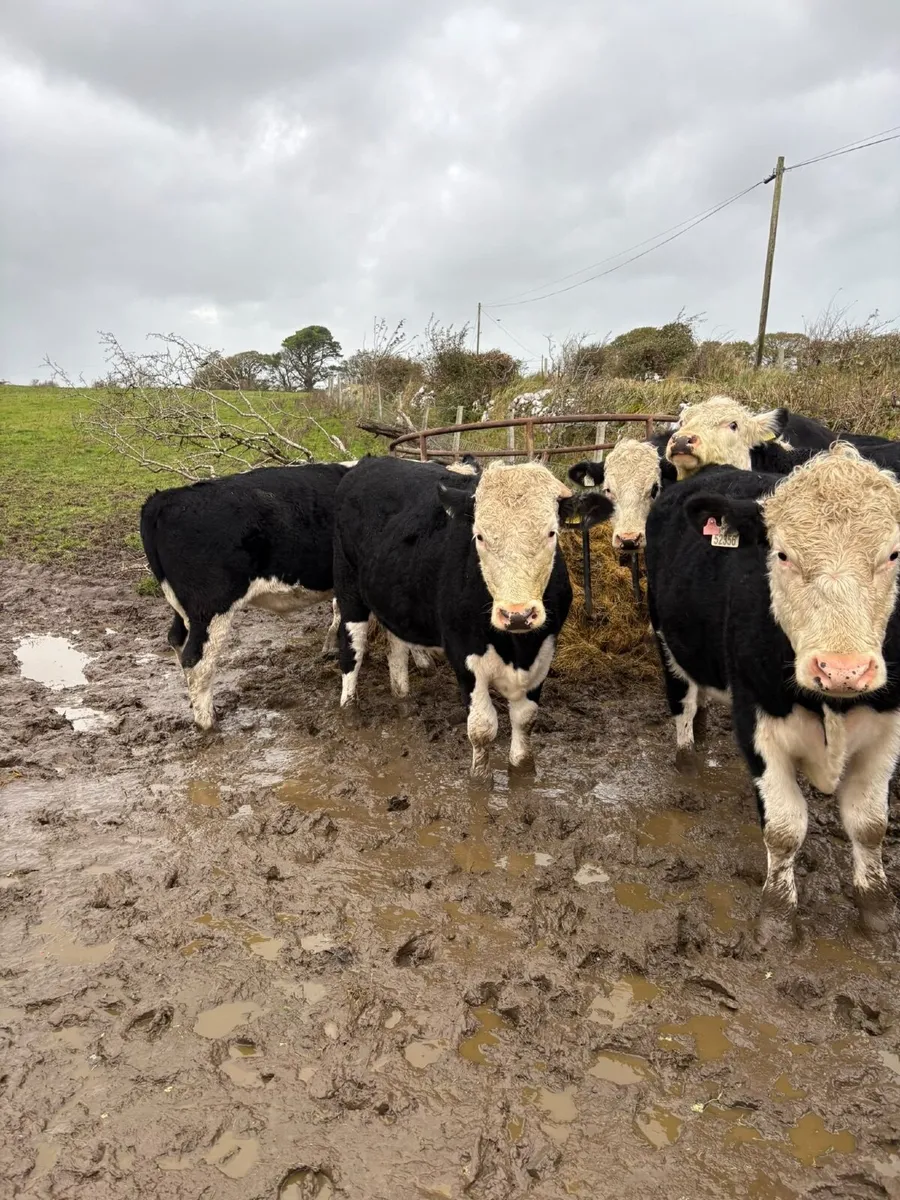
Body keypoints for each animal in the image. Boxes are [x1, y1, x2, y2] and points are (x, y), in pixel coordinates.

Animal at [140, 462, 355, 730]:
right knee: (198, 661)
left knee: (177, 641)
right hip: (210, 608)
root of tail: (163, 499)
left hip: (180, 606)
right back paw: (208, 723)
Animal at [332, 456, 574, 780]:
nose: (517, 615)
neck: (517, 648)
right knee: (352, 649)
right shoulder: (464, 654)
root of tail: (369, 462)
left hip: (394, 599)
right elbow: (483, 728)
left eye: (551, 533)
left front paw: (522, 772)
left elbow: (525, 719)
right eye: (479, 536)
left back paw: (403, 699)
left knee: (396, 648)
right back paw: (350, 710)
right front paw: (480, 781)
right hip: (348, 591)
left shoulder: (543, 651)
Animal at [645, 445, 900, 939]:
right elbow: (784, 827)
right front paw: (778, 914)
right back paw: (688, 761)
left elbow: (870, 824)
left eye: (895, 553)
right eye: (782, 555)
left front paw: (876, 908)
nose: (843, 670)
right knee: (682, 706)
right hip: (667, 642)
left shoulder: (888, 728)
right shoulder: (757, 721)